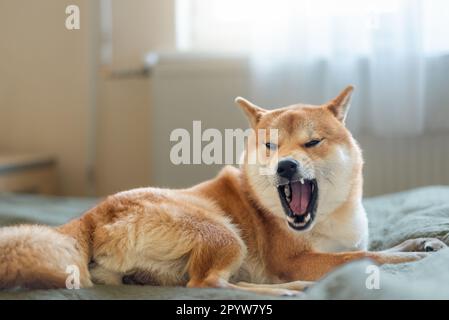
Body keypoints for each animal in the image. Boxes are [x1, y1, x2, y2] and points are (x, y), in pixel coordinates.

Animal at [0, 86, 444, 296]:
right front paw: (408, 262)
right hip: (225, 233)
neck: (328, 219)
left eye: (312, 143)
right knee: (206, 285)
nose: (285, 166)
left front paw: (420, 244)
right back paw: (290, 290)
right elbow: (367, 257)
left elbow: (375, 247)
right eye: (271, 146)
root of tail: (92, 215)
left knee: (196, 283)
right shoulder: (296, 260)